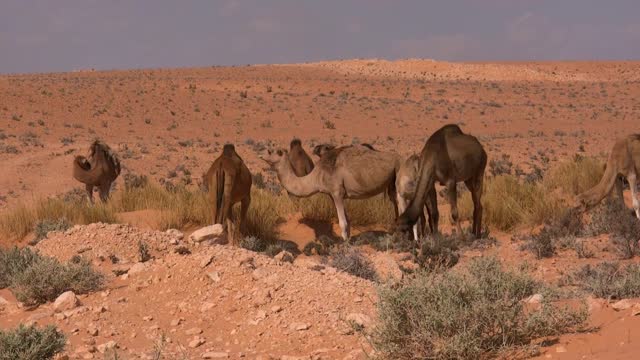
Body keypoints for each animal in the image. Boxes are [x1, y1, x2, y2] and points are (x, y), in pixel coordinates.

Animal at [260, 144, 400, 242]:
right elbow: (348, 222)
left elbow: (343, 223)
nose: (261, 154)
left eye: (272, 151)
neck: (317, 176)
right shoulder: (331, 195)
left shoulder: (337, 192)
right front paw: (348, 242)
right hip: (392, 186)